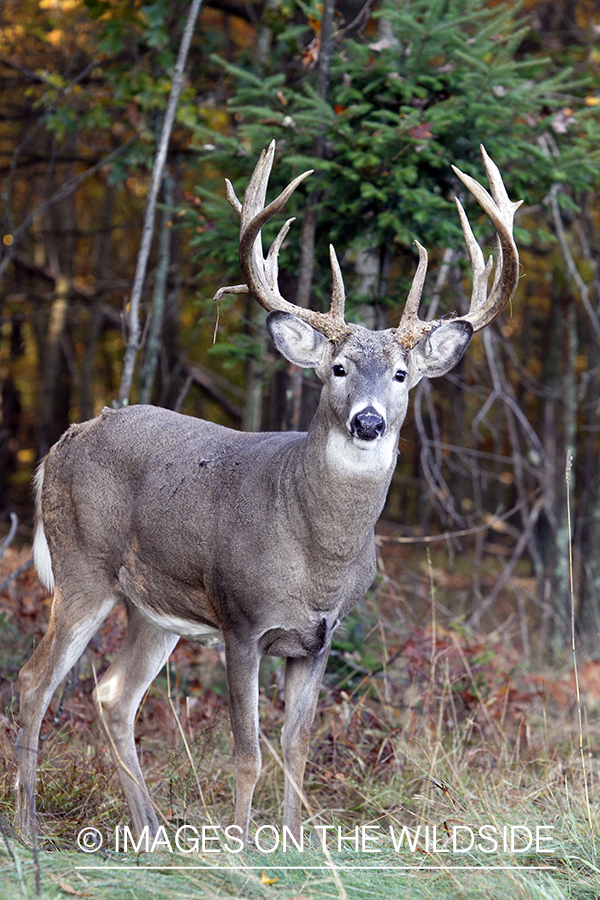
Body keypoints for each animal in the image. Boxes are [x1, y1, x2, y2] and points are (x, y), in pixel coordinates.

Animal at [14, 139, 520, 844]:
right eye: (338, 368)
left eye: (401, 374)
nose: (369, 421)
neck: (315, 554)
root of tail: (58, 445)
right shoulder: (242, 620)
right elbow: (248, 751)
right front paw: (240, 846)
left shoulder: (319, 640)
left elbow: (297, 746)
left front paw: (293, 844)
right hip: (82, 567)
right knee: (34, 682)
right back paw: (28, 829)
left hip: (152, 607)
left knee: (113, 694)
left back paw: (150, 832)